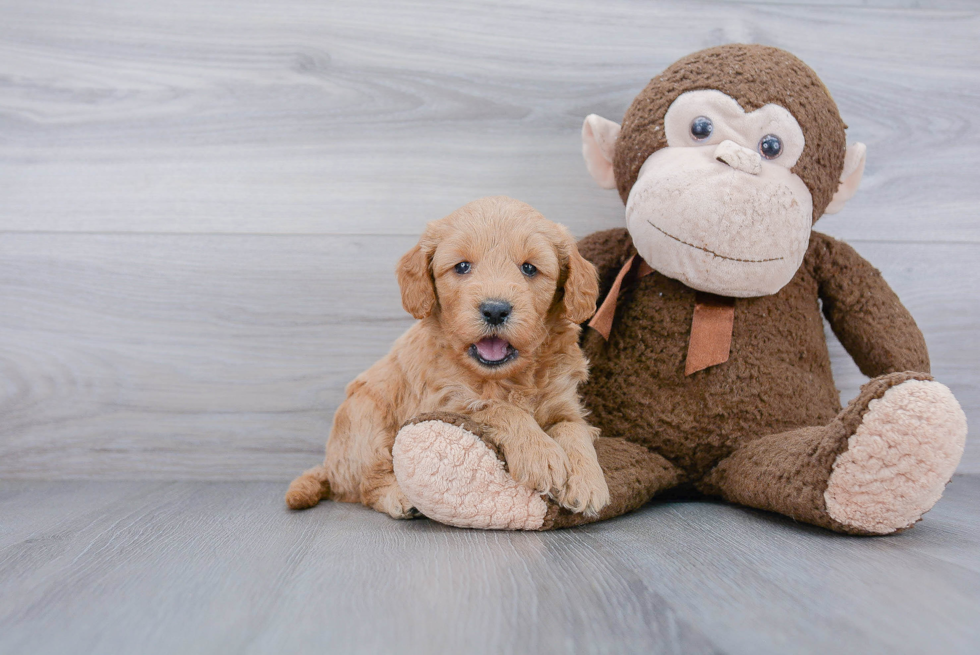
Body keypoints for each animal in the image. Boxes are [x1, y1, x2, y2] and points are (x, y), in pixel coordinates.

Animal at [284, 197, 608, 520]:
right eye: (462, 266)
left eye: (529, 268)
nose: (494, 310)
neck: (507, 376)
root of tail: (328, 467)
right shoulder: (444, 402)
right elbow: (498, 409)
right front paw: (541, 455)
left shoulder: (565, 403)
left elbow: (573, 428)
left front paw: (588, 482)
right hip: (365, 417)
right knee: (367, 483)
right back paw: (399, 499)